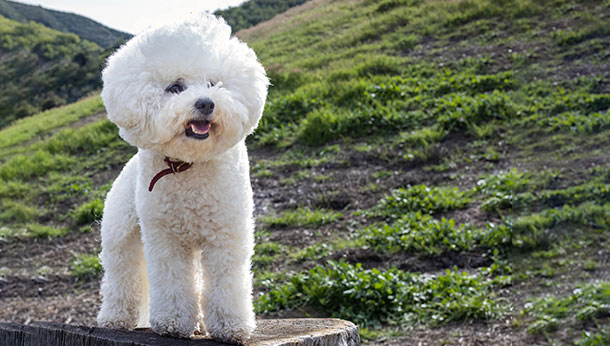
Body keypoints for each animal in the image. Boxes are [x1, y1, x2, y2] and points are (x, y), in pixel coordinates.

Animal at [96, 13, 268, 344]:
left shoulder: (226, 235)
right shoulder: (166, 240)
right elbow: (172, 282)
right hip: (120, 235)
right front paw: (174, 322)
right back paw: (115, 317)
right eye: (175, 87)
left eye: (213, 83)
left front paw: (230, 325)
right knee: (121, 275)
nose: (206, 103)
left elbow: (227, 282)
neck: (188, 165)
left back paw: (200, 324)